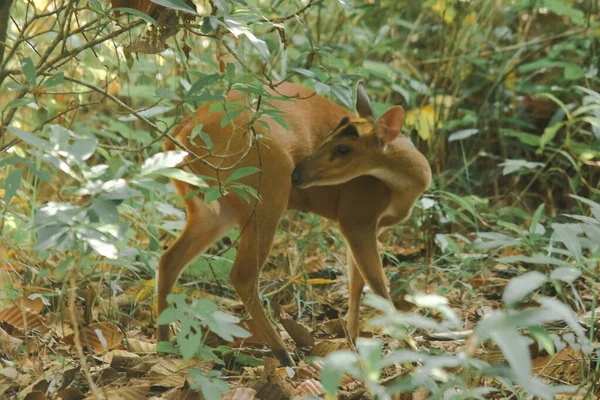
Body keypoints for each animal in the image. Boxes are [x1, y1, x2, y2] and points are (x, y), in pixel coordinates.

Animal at [157, 80, 432, 366]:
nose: (298, 174)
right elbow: (378, 285)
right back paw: (283, 354)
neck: (404, 186)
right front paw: (412, 351)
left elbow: (356, 283)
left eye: (343, 148)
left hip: (214, 210)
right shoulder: (356, 215)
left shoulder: (364, 226)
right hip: (267, 192)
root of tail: (182, 133)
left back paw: (164, 343)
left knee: (169, 260)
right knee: (242, 275)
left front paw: (354, 344)